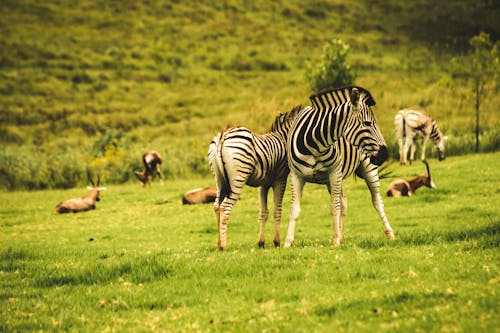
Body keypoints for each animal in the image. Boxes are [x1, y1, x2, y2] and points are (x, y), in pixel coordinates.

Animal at [209, 105, 302, 249]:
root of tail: (223, 136)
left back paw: (219, 243)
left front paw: (261, 242)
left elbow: (263, 213)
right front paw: (277, 241)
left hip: (219, 180)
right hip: (237, 178)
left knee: (216, 206)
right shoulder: (280, 180)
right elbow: (277, 210)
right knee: (225, 207)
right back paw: (223, 245)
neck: (284, 137)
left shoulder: (263, 184)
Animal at [284, 85, 392, 246]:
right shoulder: (296, 176)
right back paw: (341, 235)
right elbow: (294, 209)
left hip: (367, 168)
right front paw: (288, 242)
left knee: (377, 201)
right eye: (367, 124)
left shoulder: (334, 172)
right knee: (344, 202)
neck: (314, 145)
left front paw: (335, 241)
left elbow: (334, 207)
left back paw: (390, 233)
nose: (385, 154)